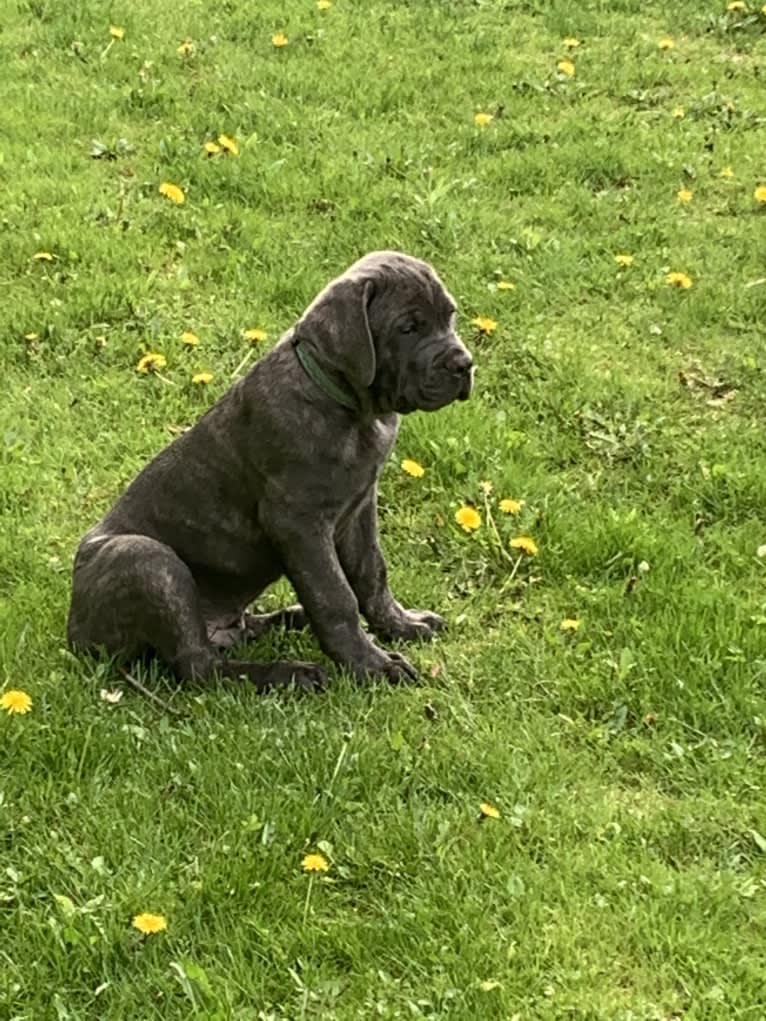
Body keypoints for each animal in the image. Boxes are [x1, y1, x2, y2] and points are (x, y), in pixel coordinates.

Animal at [67, 250, 473, 690]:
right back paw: (289, 673)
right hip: (146, 559)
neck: (353, 412)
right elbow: (335, 596)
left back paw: (290, 620)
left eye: (450, 316)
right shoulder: (297, 522)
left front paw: (401, 625)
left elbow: (371, 573)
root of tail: (74, 635)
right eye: (408, 328)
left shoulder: (361, 506)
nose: (464, 364)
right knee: (200, 667)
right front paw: (372, 666)